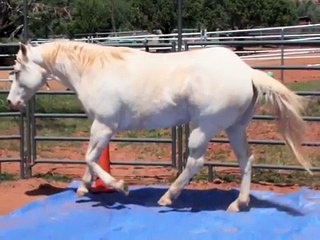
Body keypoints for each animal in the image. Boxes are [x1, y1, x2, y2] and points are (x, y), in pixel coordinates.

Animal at [6, 41, 312, 212]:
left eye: (17, 72)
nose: (10, 102)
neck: (95, 70)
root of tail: (246, 71)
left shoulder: (104, 125)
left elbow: (90, 157)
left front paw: (120, 187)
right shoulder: (100, 127)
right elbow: (91, 157)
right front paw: (84, 188)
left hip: (203, 127)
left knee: (195, 162)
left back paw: (168, 198)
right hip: (235, 128)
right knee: (246, 160)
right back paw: (238, 204)